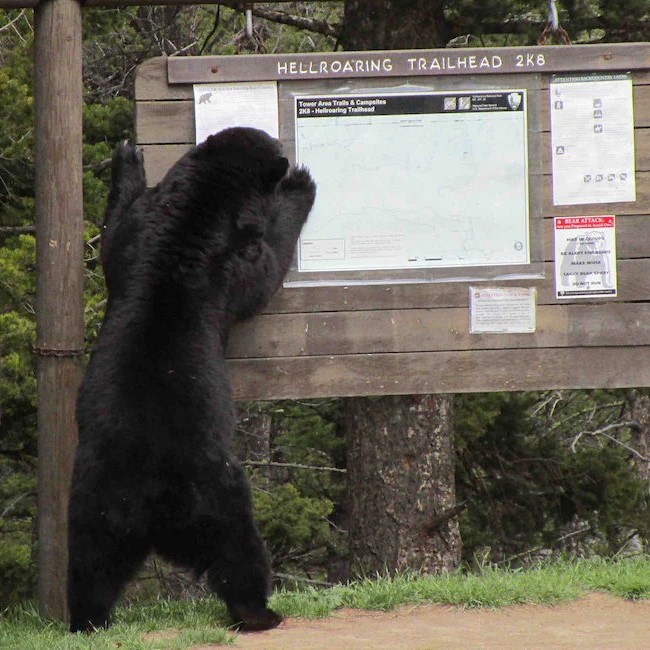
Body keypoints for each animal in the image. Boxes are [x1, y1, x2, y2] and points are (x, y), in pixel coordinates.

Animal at [67, 127, 316, 634]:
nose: (285, 149)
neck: (199, 205)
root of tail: (150, 508)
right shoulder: (232, 256)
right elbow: (264, 270)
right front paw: (299, 185)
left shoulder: (138, 232)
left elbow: (114, 233)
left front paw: (128, 156)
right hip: (216, 495)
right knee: (239, 551)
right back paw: (261, 611)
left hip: (94, 507)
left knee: (90, 567)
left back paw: (87, 619)